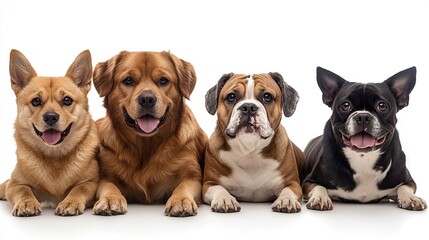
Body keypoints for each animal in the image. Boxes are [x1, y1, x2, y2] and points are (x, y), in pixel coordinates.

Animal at [0, 48, 98, 216]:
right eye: (36, 101)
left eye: (67, 100)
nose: (51, 117)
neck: (54, 155)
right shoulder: (16, 184)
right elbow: (22, 190)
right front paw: (26, 202)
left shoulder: (91, 182)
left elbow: (79, 189)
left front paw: (70, 201)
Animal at [91, 49, 208, 217]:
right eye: (128, 80)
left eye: (163, 81)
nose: (147, 99)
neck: (145, 145)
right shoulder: (106, 176)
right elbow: (108, 186)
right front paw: (109, 199)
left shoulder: (192, 176)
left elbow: (184, 186)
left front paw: (181, 200)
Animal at [202, 72, 302, 213]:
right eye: (231, 97)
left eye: (267, 97)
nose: (248, 107)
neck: (249, 151)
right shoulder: (209, 184)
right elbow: (219, 188)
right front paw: (225, 199)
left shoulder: (293, 183)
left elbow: (288, 190)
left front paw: (286, 200)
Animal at [302, 66, 426, 211]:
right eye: (345, 105)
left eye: (382, 106)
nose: (363, 116)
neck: (363, 158)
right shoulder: (309, 181)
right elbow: (319, 187)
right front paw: (320, 198)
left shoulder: (408, 181)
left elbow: (404, 188)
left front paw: (411, 198)